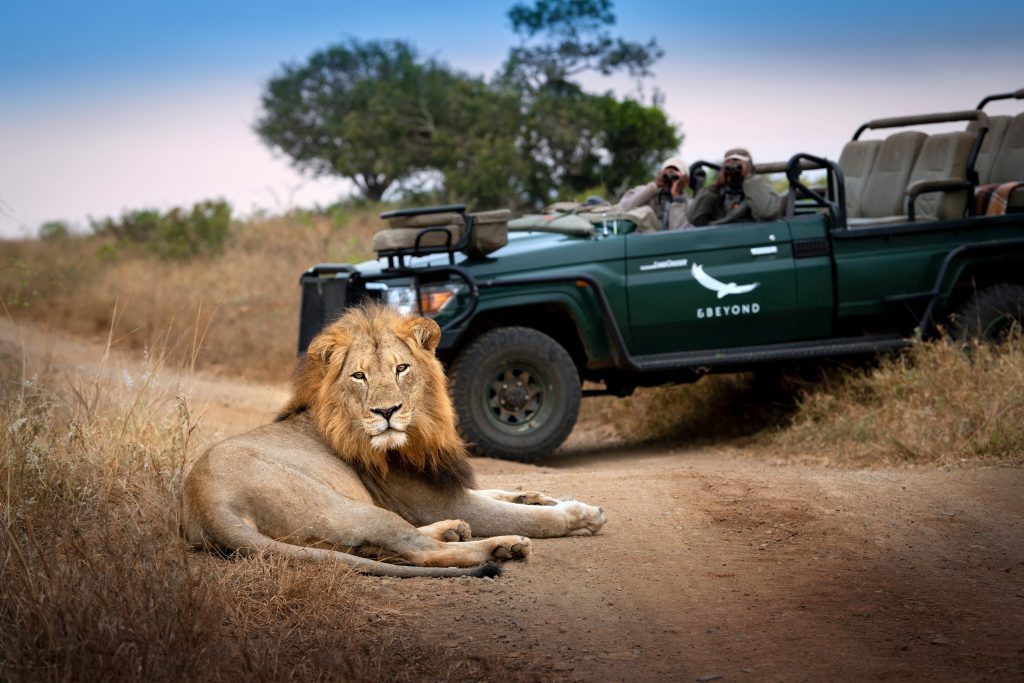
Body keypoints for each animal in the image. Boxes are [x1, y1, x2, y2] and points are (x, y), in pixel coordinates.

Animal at [182, 305, 606, 577]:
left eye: (401, 368)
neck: (422, 431)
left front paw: (535, 494)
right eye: (359, 376)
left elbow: (499, 492)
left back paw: (454, 530)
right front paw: (580, 515)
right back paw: (502, 547)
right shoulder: (433, 499)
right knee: (421, 552)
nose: (386, 411)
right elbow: (525, 516)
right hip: (347, 507)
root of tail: (206, 503)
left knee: (391, 546)